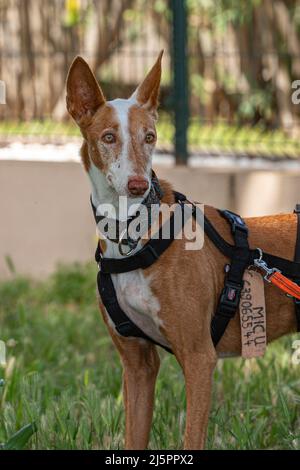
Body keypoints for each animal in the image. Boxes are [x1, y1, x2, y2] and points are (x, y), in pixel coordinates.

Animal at [67, 53, 298, 450]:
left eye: (150, 137)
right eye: (108, 137)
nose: (138, 185)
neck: (134, 236)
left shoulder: (199, 357)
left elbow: (192, 438)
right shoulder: (137, 365)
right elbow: (134, 438)